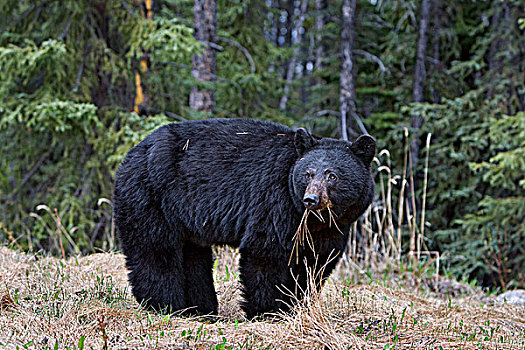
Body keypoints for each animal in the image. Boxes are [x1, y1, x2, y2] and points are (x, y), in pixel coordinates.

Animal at [111, 119, 372, 318]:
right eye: (307, 174)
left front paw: (297, 305)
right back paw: (164, 305)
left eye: (332, 176)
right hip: (151, 197)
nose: (311, 199)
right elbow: (265, 253)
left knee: (192, 256)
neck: (310, 220)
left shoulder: (332, 229)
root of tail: (131, 154)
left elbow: (315, 264)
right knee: (155, 250)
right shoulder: (274, 202)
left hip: (184, 218)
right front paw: (267, 311)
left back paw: (199, 309)